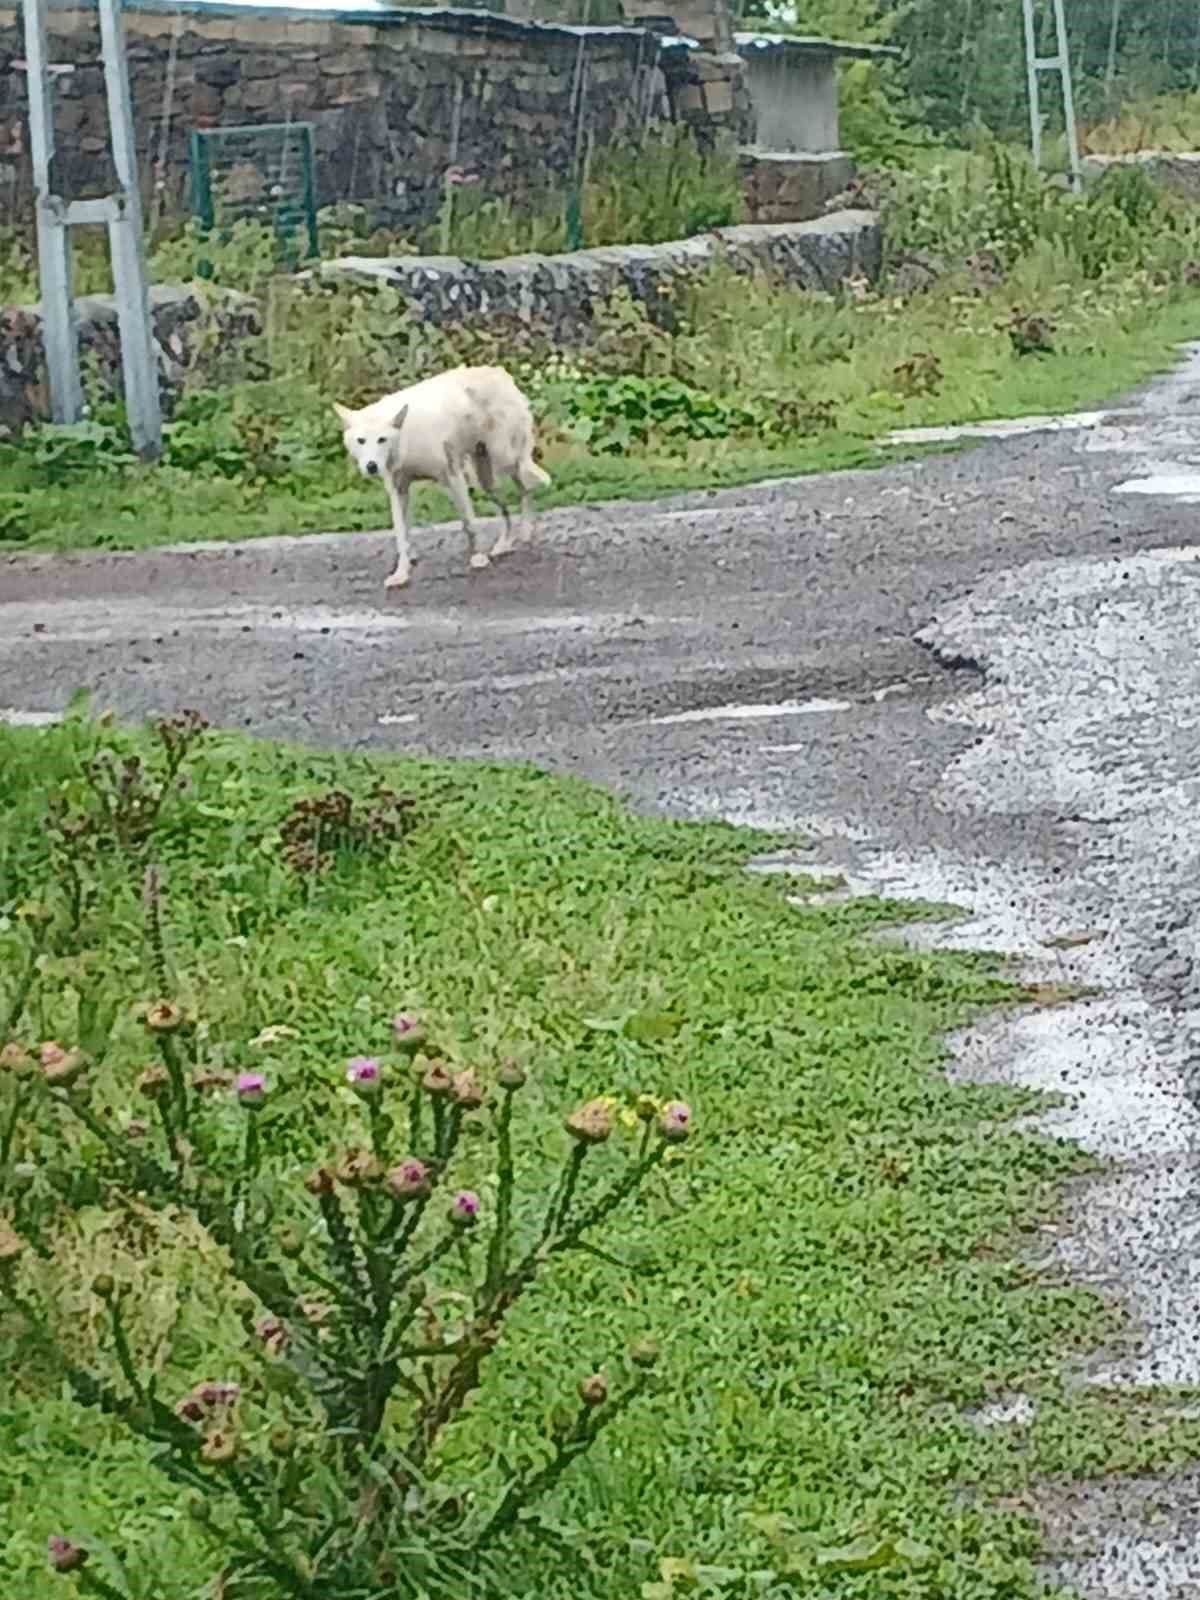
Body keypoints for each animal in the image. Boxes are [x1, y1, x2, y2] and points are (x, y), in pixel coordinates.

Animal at [331, 363, 553, 588]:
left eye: (381, 440)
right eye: (361, 441)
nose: (371, 466)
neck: (406, 439)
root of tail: (497, 371)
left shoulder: (453, 477)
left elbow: (469, 523)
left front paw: (478, 558)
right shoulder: (398, 490)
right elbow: (401, 536)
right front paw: (401, 574)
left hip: (505, 460)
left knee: (525, 487)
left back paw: (526, 530)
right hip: (484, 479)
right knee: (506, 509)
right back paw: (503, 545)